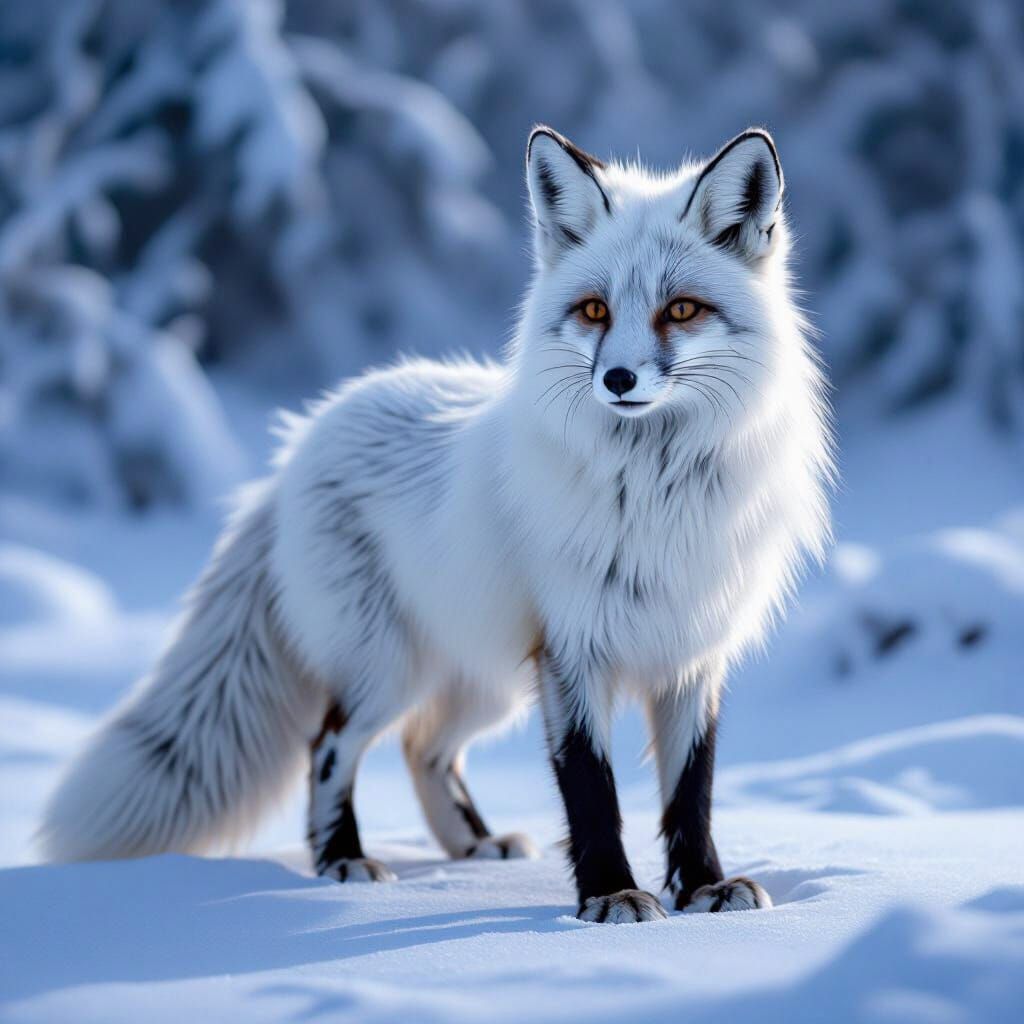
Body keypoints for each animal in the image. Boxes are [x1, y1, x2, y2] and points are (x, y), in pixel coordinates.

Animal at [40, 126, 832, 923]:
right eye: (594, 312)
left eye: (682, 311)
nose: (617, 381)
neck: (654, 495)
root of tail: (294, 450)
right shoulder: (572, 650)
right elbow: (590, 788)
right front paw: (611, 895)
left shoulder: (693, 651)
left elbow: (690, 792)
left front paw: (702, 888)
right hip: (387, 669)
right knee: (328, 747)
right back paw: (343, 859)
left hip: (484, 680)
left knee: (425, 749)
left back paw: (473, 848)